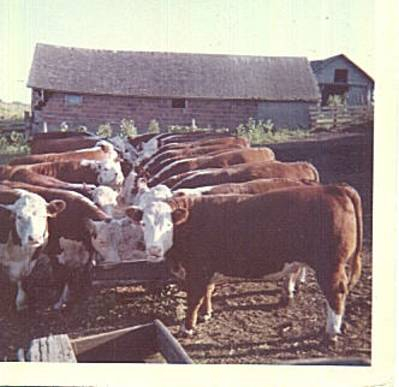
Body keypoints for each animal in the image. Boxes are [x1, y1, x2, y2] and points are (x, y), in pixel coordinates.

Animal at [126, 183, 364, 342]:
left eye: (169, 225)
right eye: (143, 223)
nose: (154, 250)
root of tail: (335, 188)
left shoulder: (197, 271)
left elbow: (193, 299)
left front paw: (188, 328)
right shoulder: (207, 271)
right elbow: (208, 292)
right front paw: (206, 313)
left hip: (330, 265)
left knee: (336, 293)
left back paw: (331, 331)